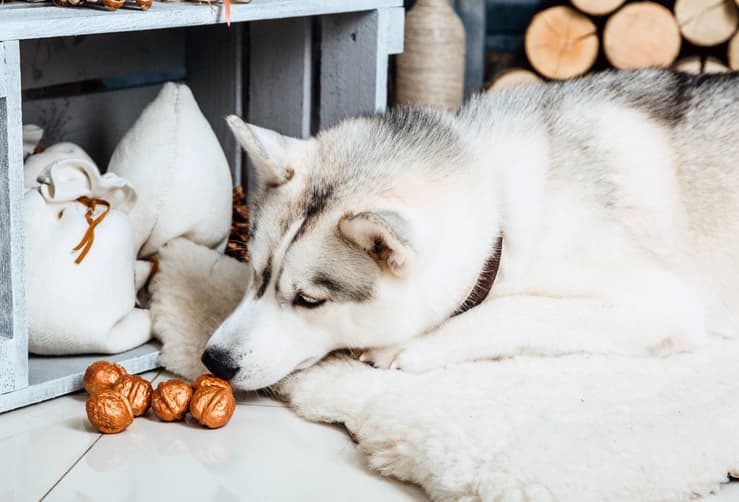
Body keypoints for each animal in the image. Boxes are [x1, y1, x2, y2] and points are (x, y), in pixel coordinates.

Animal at [202, 68, 739, 390]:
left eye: (309, 300)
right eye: (255, 271)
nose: (215, 361)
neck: (501, 204)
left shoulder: (662, 304)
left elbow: (512, 310)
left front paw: (411, 345)